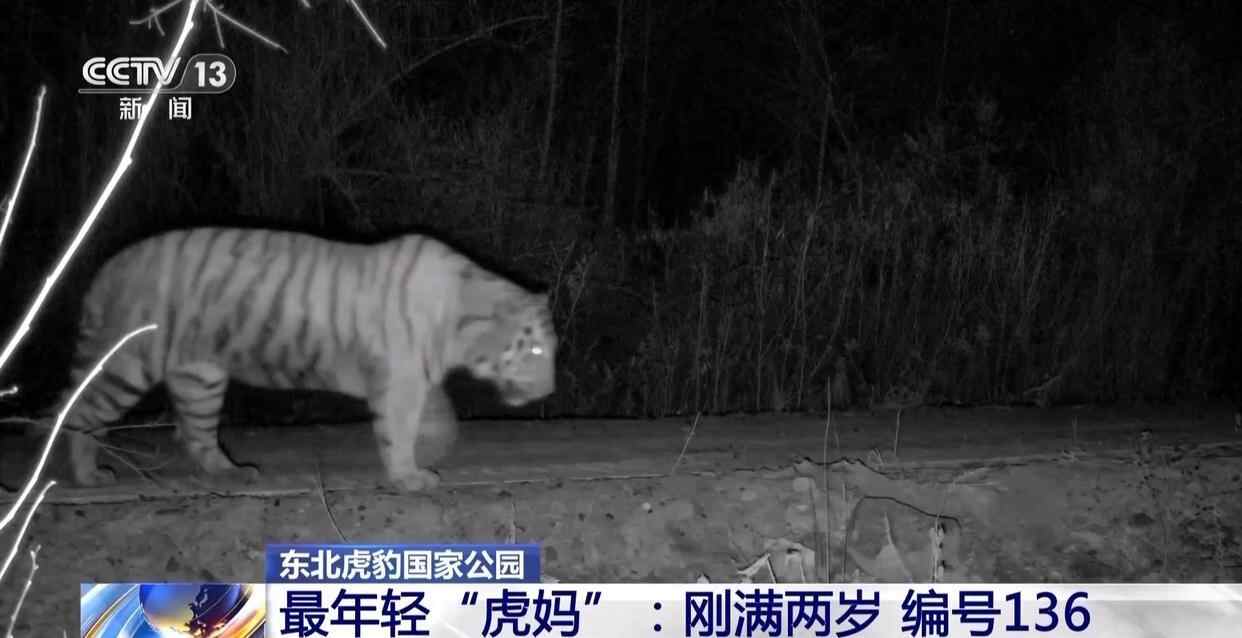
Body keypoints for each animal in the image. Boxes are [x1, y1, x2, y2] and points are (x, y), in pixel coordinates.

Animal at [46, 227, 556, 492]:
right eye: (534, 350)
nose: (549, 390)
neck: (462, 321)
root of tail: (106, 269)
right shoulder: (401, 380)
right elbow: (398, 431)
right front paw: (409, 476)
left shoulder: (418, 378)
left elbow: (436, 420)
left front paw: (432, 454)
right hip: (129, 361)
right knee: (81, 411)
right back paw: (89, 475)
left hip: (200, 376)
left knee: (196, 431)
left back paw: (231, 471)